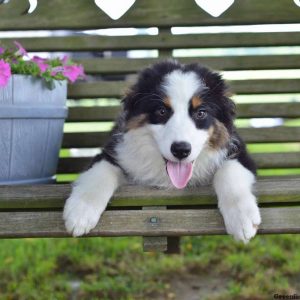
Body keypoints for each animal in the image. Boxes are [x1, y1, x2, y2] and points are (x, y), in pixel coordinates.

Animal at [63, 59, 260, 243]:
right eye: (162, 111)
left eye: (201, 113)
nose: (181, 150)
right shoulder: (114, 150)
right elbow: (100, 172)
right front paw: (80, 212)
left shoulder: (239, 152)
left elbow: (228, 170)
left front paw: (242, 218)